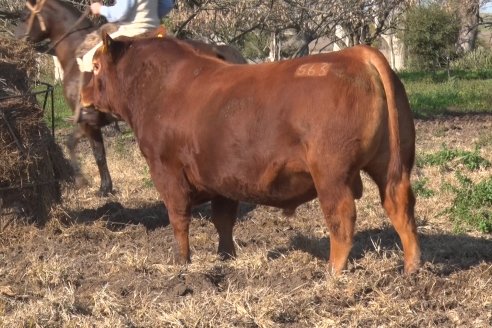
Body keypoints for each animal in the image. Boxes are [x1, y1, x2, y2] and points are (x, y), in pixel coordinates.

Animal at [14, 0, 246, 195]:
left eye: (25, 16)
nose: (18, 38)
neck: (75, 54)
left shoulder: (87, 119)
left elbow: (89, 150)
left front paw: (94, 184)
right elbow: (93, 150)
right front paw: (104, 186)